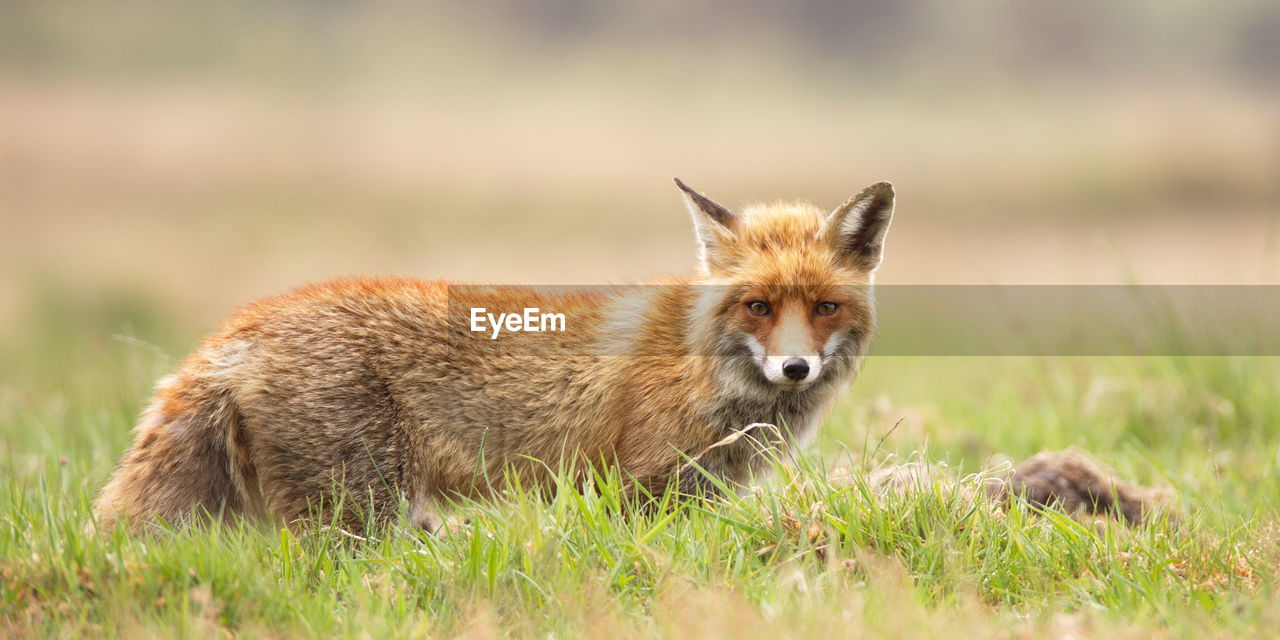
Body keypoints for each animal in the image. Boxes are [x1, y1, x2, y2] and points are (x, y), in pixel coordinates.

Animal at [92, 177, 890, 532]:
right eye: (758, 306)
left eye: (824, 307)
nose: (796, 368)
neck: (704, 367)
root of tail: (238, 327)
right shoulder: (634, 491)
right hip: (361, 514)